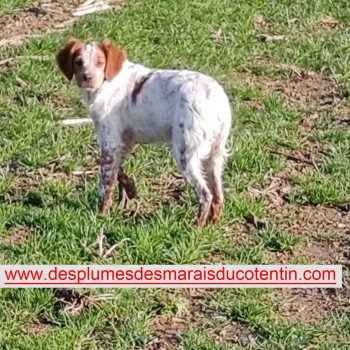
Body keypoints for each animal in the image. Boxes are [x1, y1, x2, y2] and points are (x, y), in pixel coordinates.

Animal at [56, 39, 232, 228]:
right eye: (78, 62)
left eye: (99, 62)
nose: (87, 77)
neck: (107, 82)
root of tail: (214, 97)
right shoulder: (125, 141)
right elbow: (118, 170)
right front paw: (131, 190)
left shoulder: (110, 141)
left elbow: (105, 183)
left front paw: (100, 216)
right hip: (215, 155)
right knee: (218, 195)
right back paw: (212, 225)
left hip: (185, 152)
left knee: (205, 195)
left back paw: (195, 229)